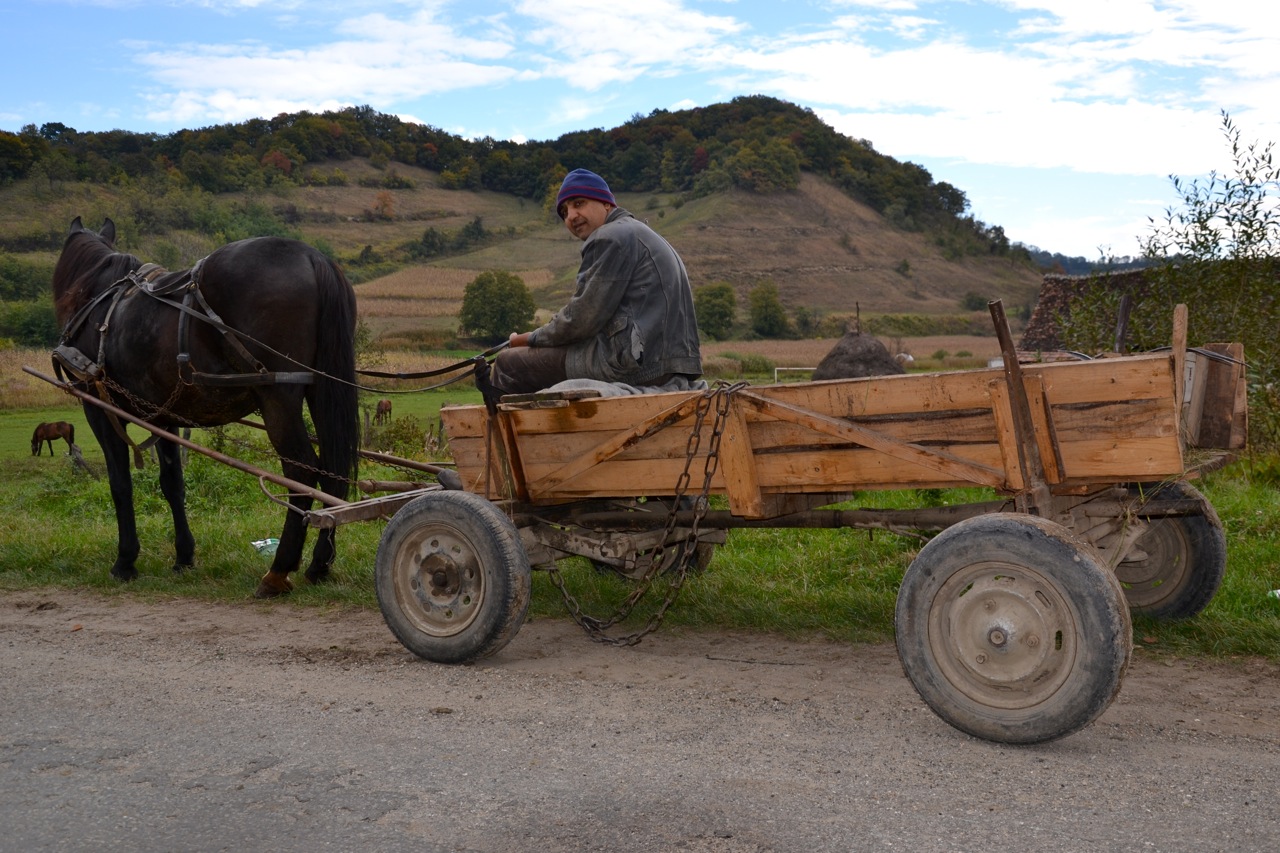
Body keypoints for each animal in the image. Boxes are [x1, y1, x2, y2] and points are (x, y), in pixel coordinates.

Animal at [50, 216, 360, 594]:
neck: (99, 298)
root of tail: (313, 257)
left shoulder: (99, 407)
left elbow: (120, 484)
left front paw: (125, 561)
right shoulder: (164, 415)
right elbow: (172, 483)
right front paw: (184, 556)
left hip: (278, 396)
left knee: (301, 471)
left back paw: (278, 569)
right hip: (320, 390)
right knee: (333, 470)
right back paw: (319, 565)